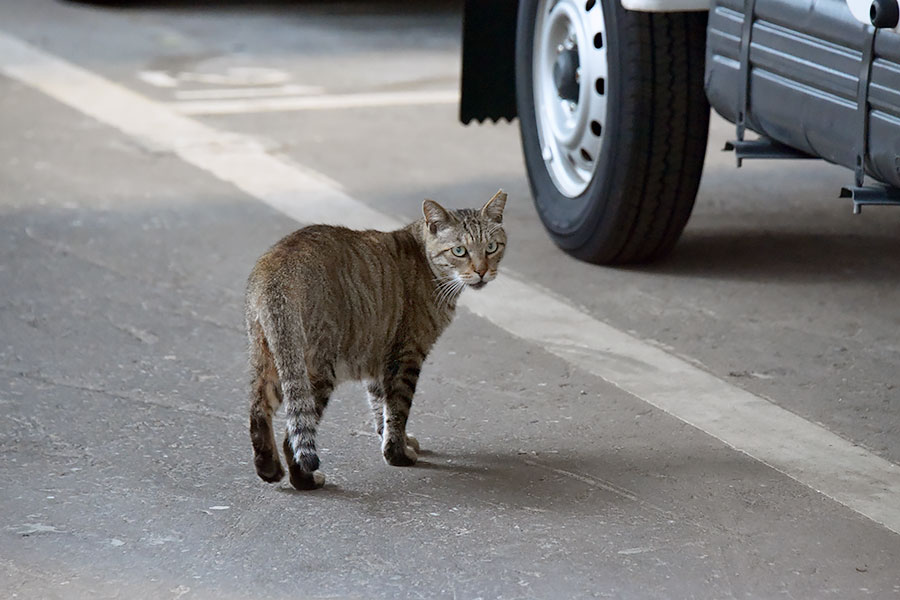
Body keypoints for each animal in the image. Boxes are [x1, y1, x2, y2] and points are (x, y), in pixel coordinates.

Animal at [246, 190, 506, 490]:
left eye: (491, 247)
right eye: (459, 251)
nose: (482, 271)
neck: (426, 262)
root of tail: (278, 268)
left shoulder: (375, 354)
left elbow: (379, 406)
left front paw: (397, 442)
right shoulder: (406, 355)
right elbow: (397, 410)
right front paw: (398, 454)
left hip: (272, 358)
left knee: (258, 410)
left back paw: (269, 468)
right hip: (316, 369)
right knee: (293, 436)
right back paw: (306, 480)